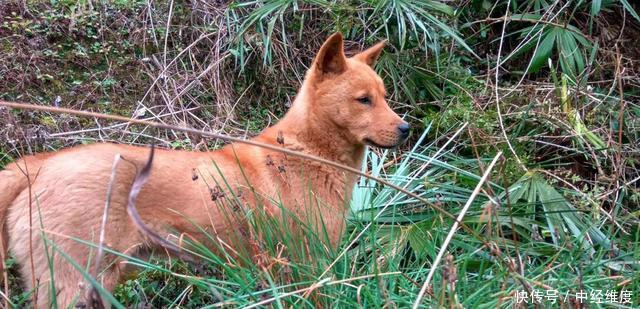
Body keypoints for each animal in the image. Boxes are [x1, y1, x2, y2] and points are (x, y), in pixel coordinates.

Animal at [0, 33, 408, 306]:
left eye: (385, 97)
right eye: (363, 100)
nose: (406, 129)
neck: (305, 153)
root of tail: (42, 165)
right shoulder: (306, 267)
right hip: (74, 286)